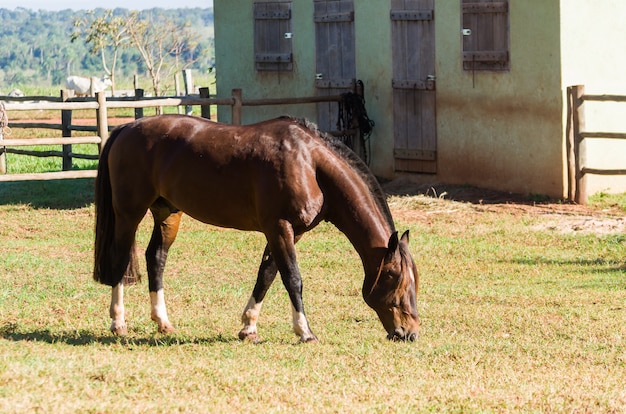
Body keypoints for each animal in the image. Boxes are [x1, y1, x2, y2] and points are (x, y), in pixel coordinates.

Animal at [92, 114, 420, 342]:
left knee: (156, 258)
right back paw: (118, 323)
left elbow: (267, 275)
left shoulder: (290, 232)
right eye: (394, 277)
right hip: (129, 213)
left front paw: (248, 326)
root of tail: (126, 128)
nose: (410, 332)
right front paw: (304, 331)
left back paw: (162, 322)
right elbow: (292, 279)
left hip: (168, 213)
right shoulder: (279, 228)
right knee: (120, 260)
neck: (309, 163)